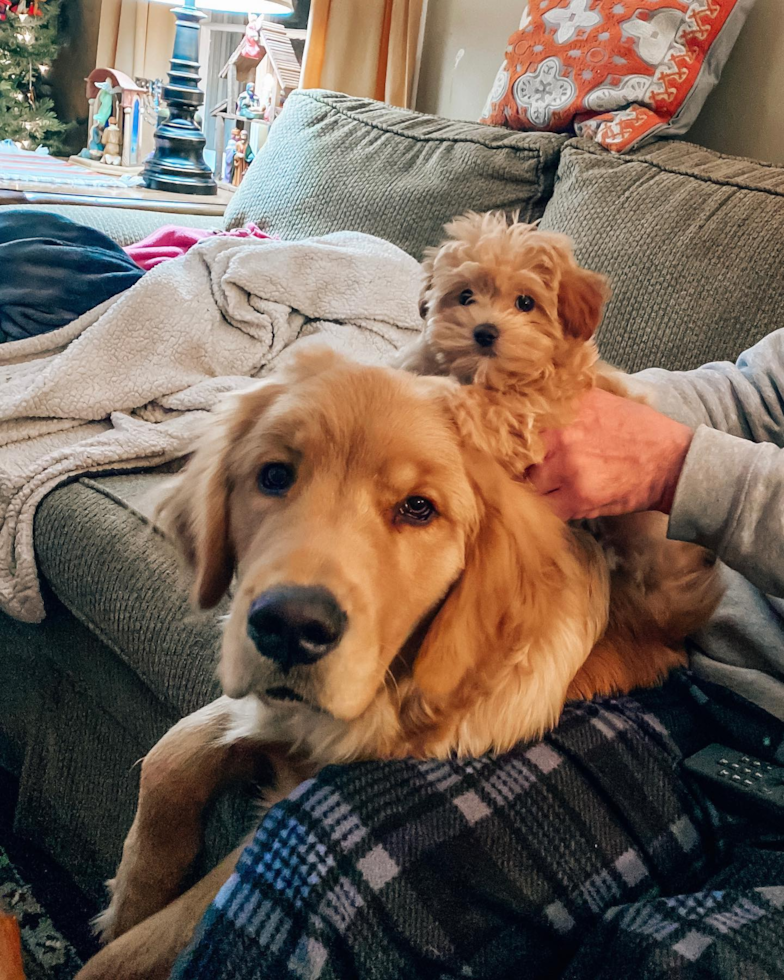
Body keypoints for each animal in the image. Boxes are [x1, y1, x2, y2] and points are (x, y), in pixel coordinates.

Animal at [76, 344, 708, 980]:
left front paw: (122, 934)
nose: (291, 628)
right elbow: (169, 754)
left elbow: (144, 945)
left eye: (418, 508)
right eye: (274, 476)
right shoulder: (268, 708)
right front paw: (130, 896)